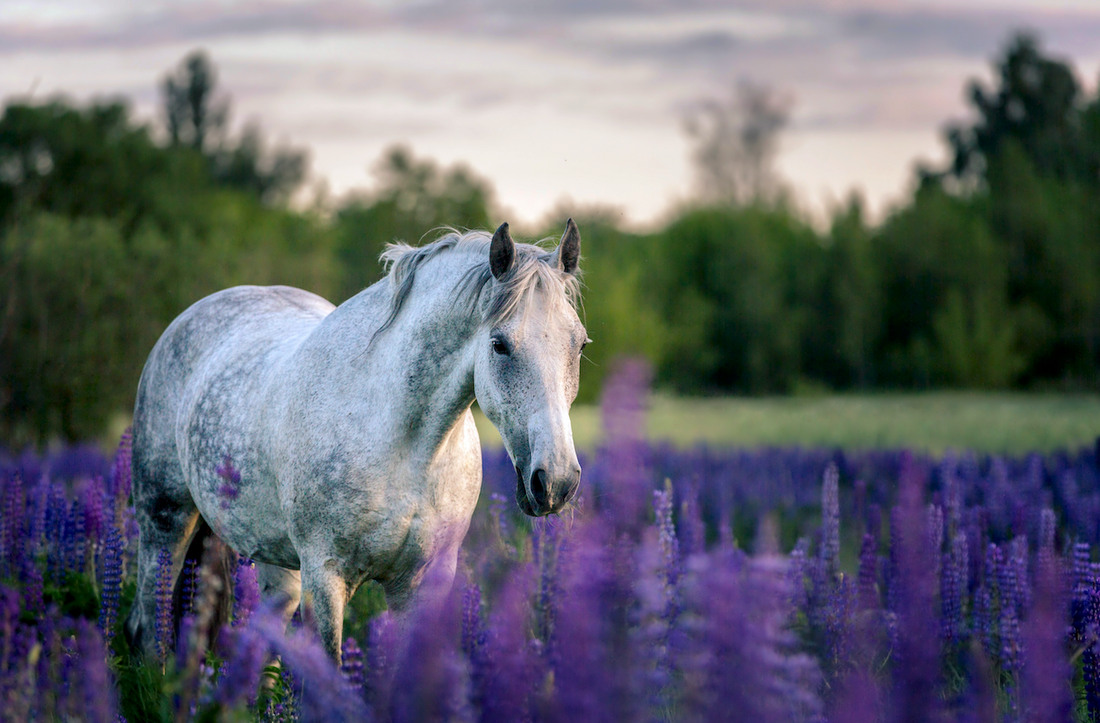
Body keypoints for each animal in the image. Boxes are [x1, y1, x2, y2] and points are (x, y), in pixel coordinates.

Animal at [125, 222, 589, 664]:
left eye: (580, 345)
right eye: (499, 344)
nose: (557, 482)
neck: (406, 448)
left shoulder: (421, 583)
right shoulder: (325, 578)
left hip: (275, 564)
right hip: (164, 524)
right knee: (149, 627)